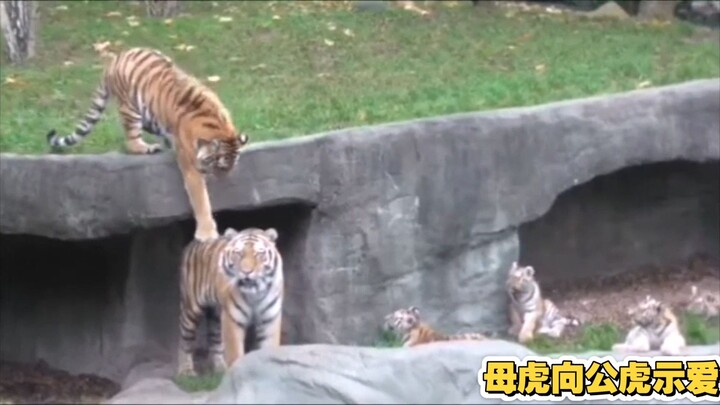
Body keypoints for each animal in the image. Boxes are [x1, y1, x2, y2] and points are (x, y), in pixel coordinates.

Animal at [45, 47, 249, 242]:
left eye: (232, 166)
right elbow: (201, 200)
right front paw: (207, 233)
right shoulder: (191, 167)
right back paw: (147, 147)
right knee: (131, 140)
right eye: (220, 166)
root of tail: (115, 60)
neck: (218, 126)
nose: (224, 180)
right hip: (131, 109)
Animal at [177, 226, 283, 377]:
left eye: (259, 254)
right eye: (239, 254)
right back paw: (186, 372)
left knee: (215, 341)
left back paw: (220, 369)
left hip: (216, 315)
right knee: (184, 341)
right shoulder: (233, 320)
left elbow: (269, 348)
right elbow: (235, 353)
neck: (255, 292)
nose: (246, 272)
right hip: (190, 310)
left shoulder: (269, 319)